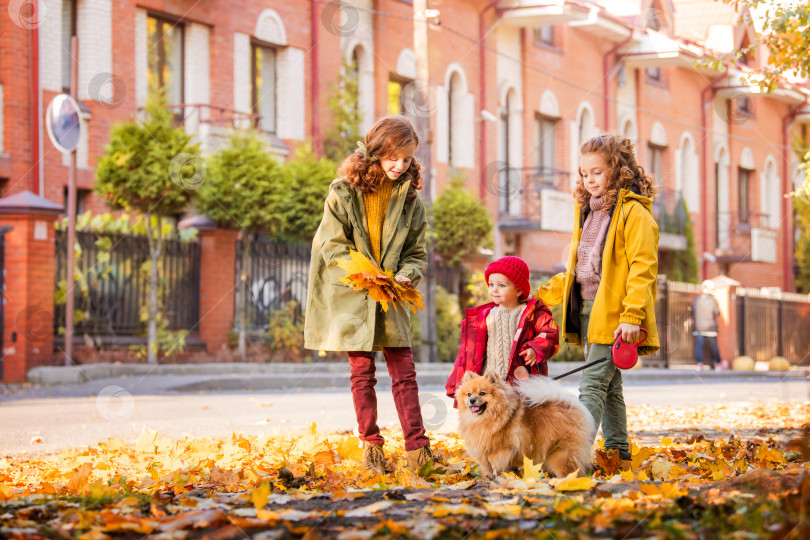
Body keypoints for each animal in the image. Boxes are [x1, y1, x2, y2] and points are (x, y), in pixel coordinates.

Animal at [454, 372, 592, 476]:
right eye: (469, 394)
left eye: (482, 393)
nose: (472, 400)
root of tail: (568, 405)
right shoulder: (483, 454)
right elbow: (486, 469)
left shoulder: (499, 451)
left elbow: (495, 466)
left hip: (560, 453)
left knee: (570, 471)